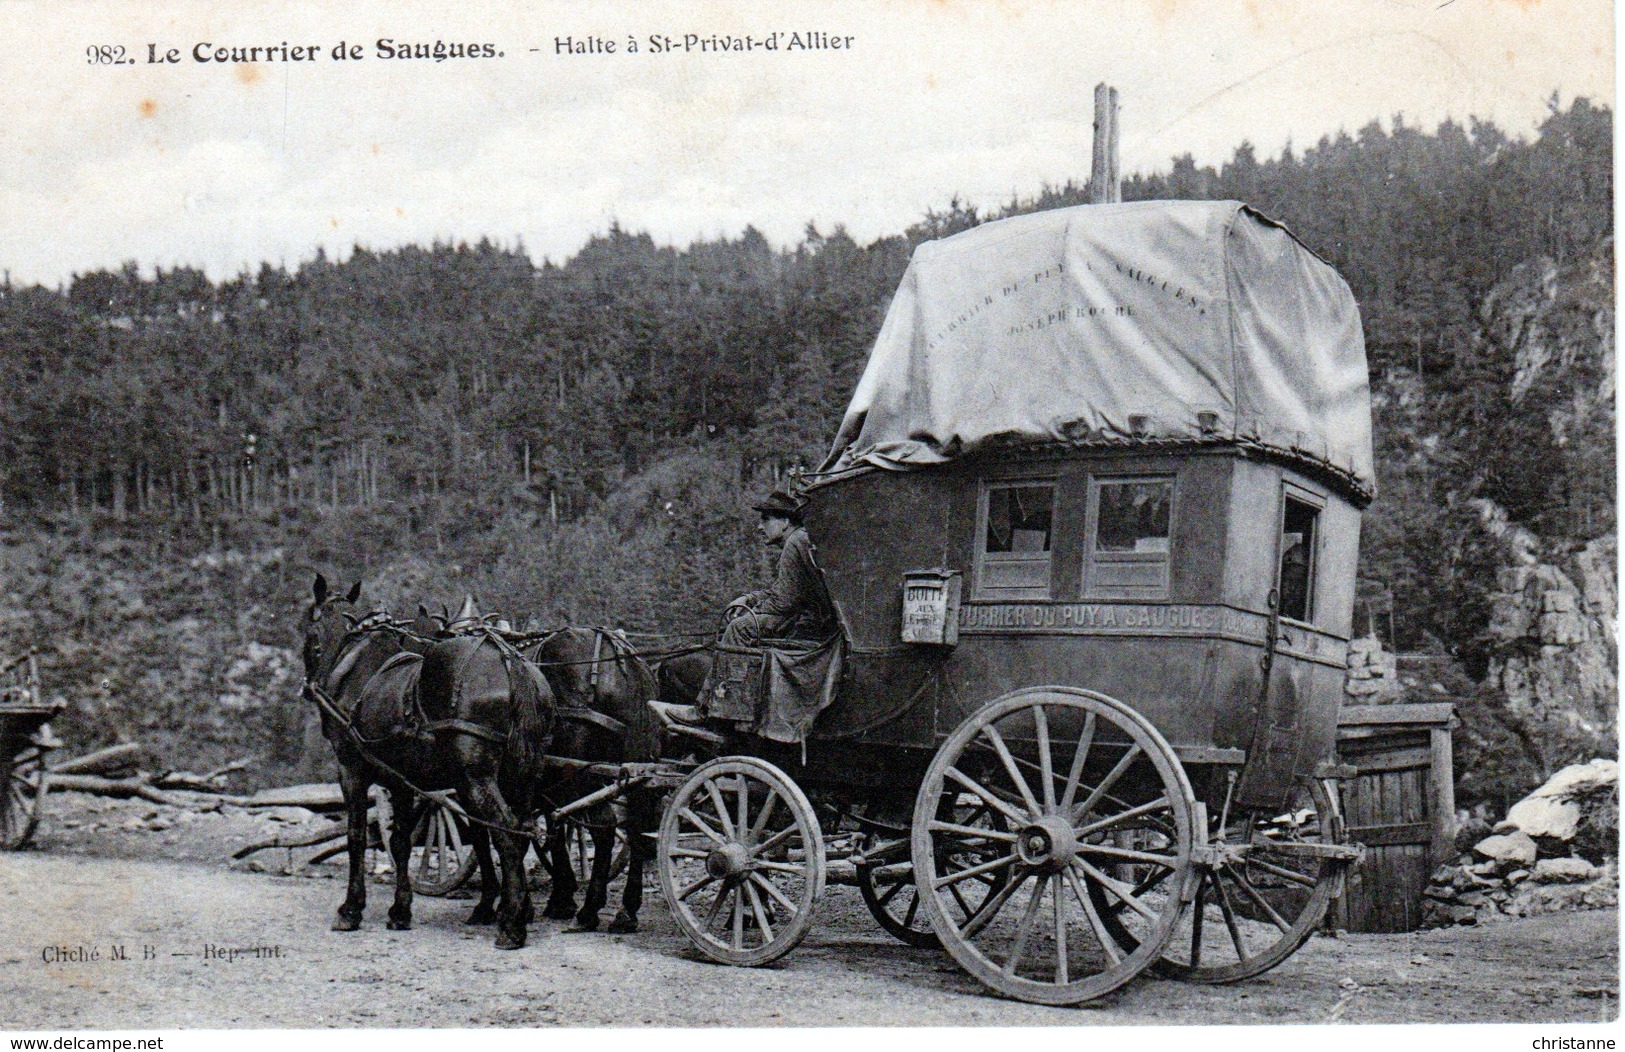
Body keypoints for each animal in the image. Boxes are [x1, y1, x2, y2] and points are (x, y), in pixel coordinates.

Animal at [302, 578, 555, 949]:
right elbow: (400, 841)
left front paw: (351, 909)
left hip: (475, 780)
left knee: (506, 832)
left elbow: (356, 836)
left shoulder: (351, 771)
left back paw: (510, 925)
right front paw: (399, 911)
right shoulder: (400, 781)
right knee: (519, 830)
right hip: (522, 776)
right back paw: (514, 910)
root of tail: (510, 661)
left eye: (309, 628)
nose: (307, 688)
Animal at [529, 630, 663, 936]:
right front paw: (562, 893)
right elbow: (555, 825)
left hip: (582, 771)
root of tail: (623, 662)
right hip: (635, 766)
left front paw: (562, 898)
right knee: (637, 828)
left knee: (605, 828)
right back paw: (627, 911)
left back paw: (589, 910)